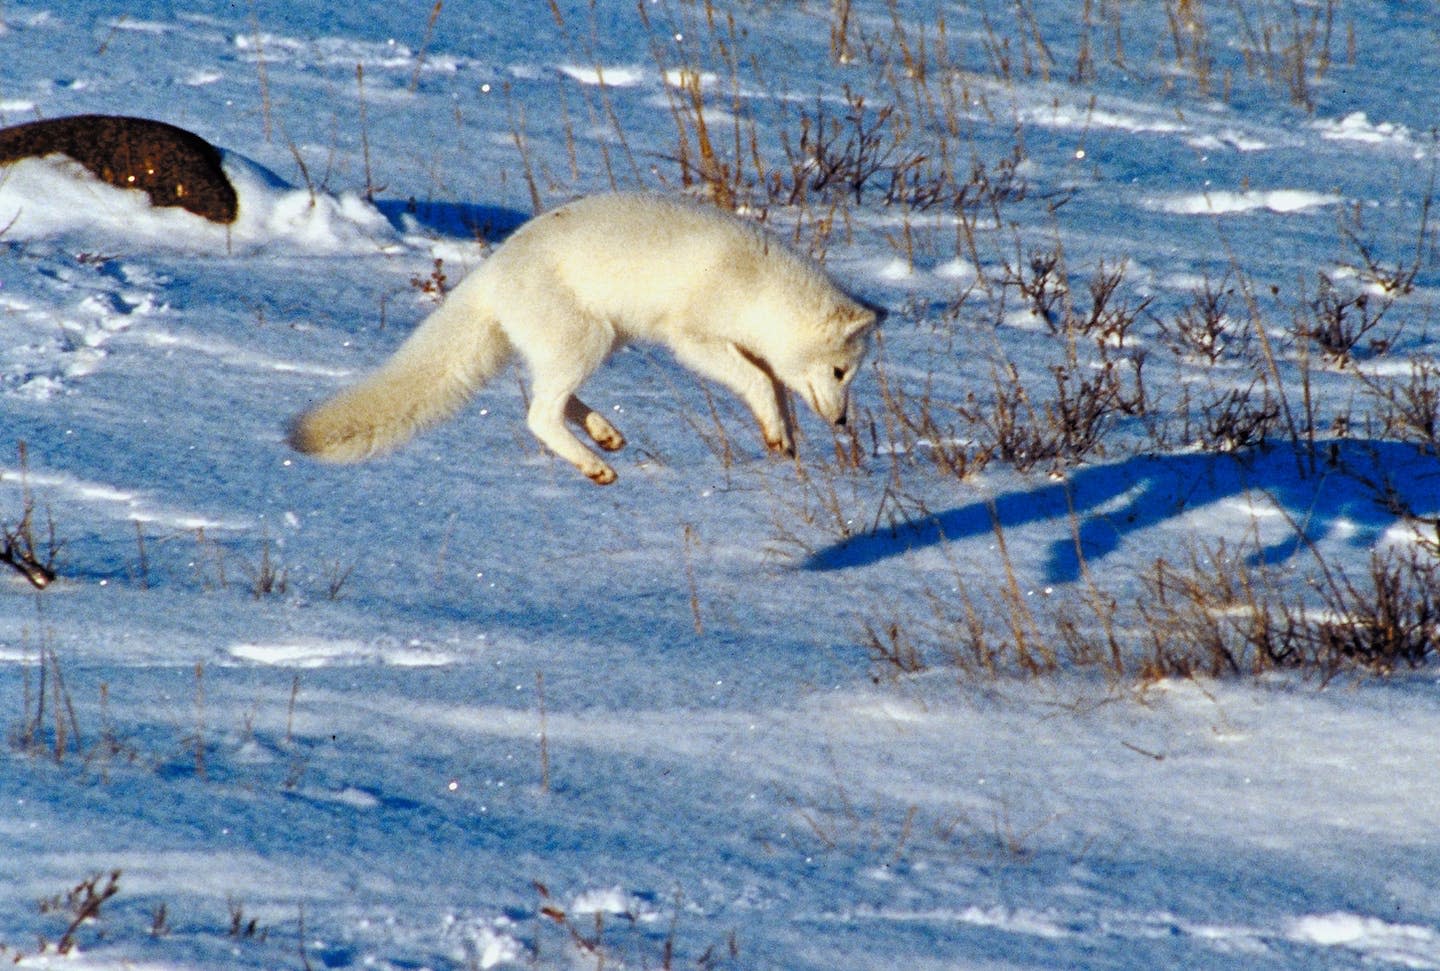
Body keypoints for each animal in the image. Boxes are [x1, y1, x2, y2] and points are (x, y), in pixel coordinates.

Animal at [285, 191, 875, 481]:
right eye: (840, 371)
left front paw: (783, 438)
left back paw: (604, 434)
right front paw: (779, 432)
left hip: (595, 342)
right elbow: (755, 381)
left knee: (550, 397)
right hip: (587, 341)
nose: (843, 422)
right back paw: (596, 465)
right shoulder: (691, 338)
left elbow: (773, 389)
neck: (759, 288)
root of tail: (492, 271)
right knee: (538, 415)